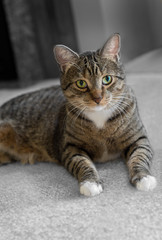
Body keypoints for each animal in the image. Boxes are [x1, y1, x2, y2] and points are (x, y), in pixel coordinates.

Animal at [0, 33, 157, 196]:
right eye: (81, 83)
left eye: (107, 79)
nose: (98, 98)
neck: (100, 118)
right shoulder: (70, 148)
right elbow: (82, 163)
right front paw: (90, 183)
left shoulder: (139, 139)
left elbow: (139, 157)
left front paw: (143, 177)